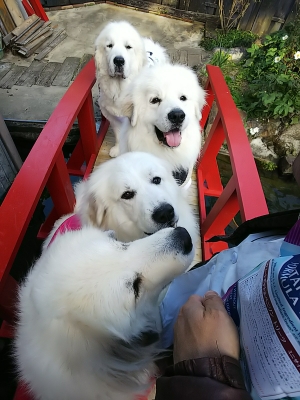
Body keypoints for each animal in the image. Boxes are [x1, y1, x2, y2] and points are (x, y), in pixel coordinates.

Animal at [94, 20, 168, 158]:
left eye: (128, 47)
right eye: (109, 45)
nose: (118, 60)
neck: (119, 90)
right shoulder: (111, 114)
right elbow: (118, 134)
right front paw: (118, 149)